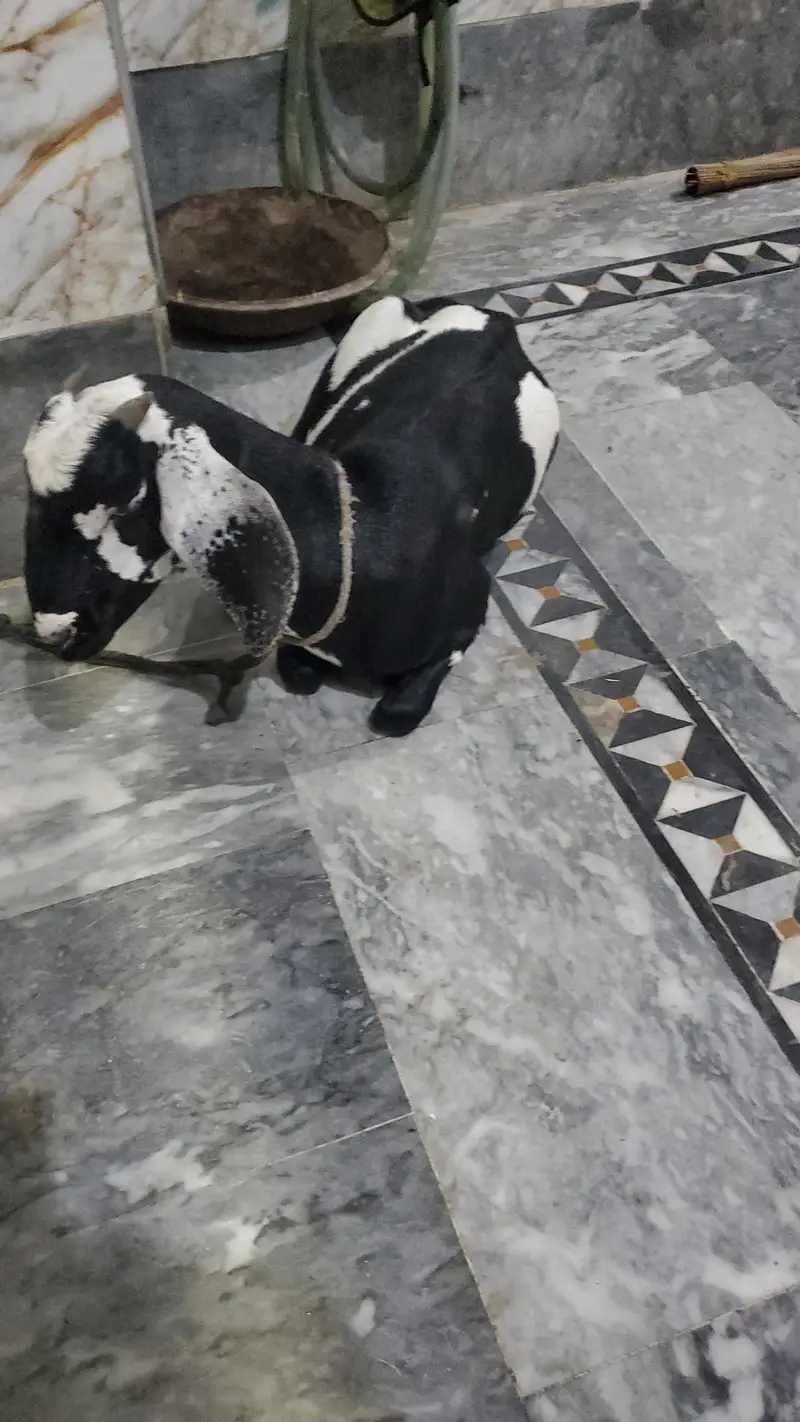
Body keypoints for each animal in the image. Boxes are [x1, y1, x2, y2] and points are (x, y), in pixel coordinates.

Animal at [22, 296, 559, 737]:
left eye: (123, 502)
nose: (55, 631)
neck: (361, 519)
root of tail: (494, 321)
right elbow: (299, 672)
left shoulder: (470, 607)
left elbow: (397, 714)